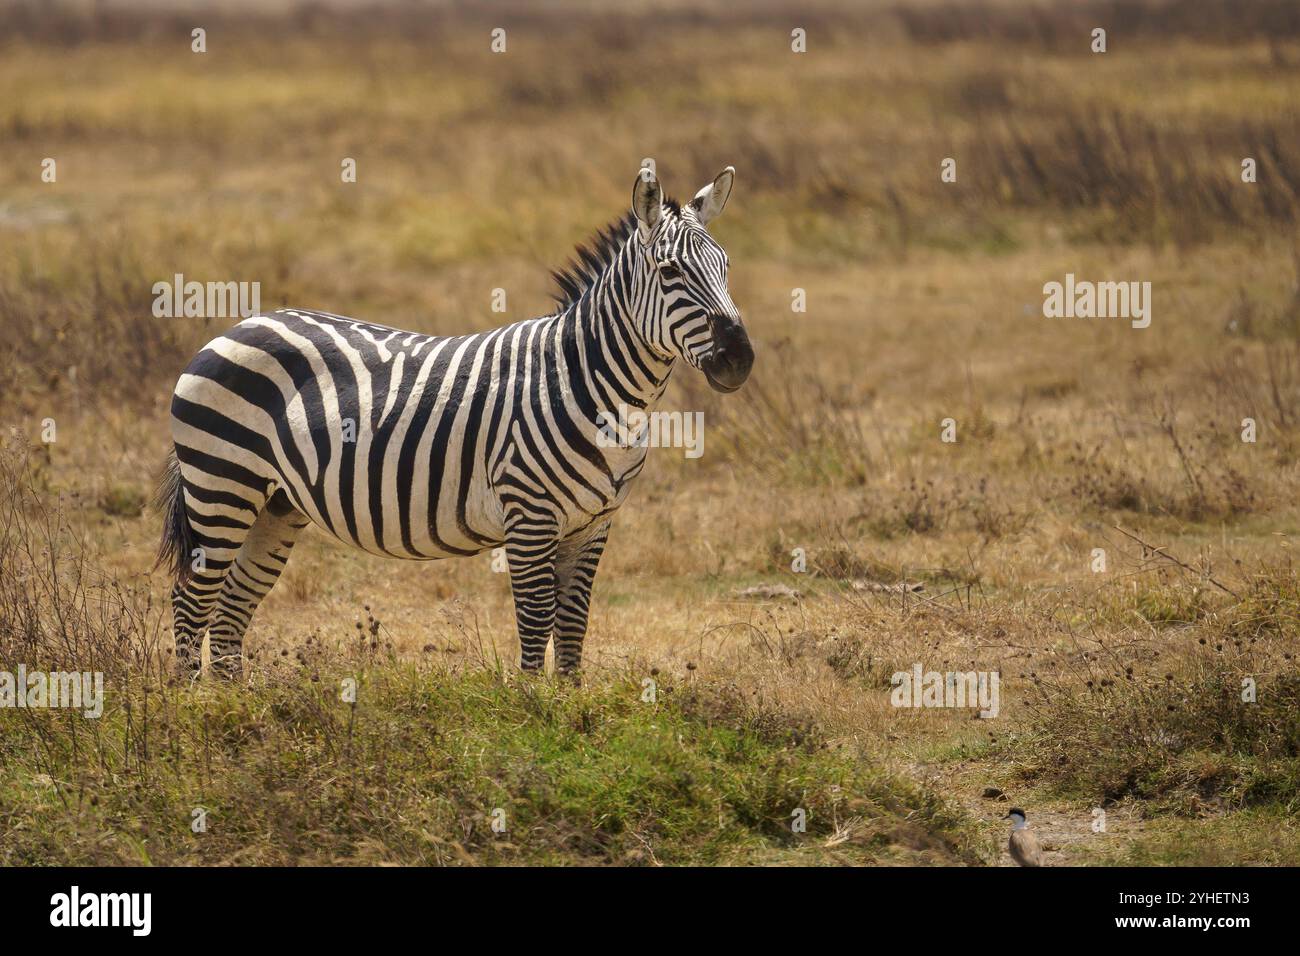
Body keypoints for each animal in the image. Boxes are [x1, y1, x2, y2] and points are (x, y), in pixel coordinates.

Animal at [157, 167, 759, 686]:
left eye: (727, 266)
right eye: (670, 272)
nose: (739, 359)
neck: (589, 384)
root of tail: (239, 325)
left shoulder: (594, 524)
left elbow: (573, 627)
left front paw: (571, 712)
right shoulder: (529, 514)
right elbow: (536, 623)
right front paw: (533, 715)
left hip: (276, 504)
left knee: (232, 607)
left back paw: (238, 708)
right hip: (222, 486)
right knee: (192, 601)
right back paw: (191, 713)